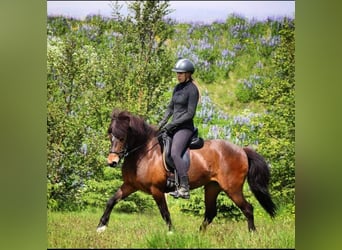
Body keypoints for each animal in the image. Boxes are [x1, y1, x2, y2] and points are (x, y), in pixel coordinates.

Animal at [95, 109, 276, 232]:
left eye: (122, 137)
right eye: (110, 135)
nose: (112, 161)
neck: (143, 153)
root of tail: (242, 150)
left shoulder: (156, 190)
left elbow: (165, 213)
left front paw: (171, 233)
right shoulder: (130, 185)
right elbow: (111, 200)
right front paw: (101, 226)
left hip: (232, 188)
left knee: (247, 209)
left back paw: (252, 234)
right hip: (212, 187)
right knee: (210, 213)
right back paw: (198, 235)